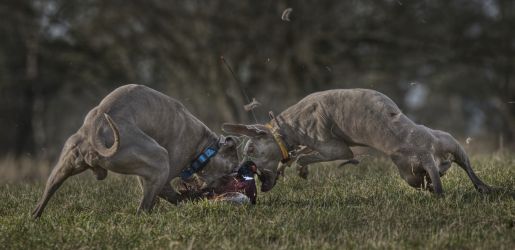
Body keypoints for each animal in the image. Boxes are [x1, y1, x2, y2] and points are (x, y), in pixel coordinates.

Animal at [33, 85, 241, 218]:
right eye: (229, 174)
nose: (221, 190)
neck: (204, 146)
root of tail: (97, 127)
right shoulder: (163, 176)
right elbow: (173, 195)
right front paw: (192, 199)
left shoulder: (147, 176)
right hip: (160, 161)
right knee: (142, 210)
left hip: (64, 165)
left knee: (48, 190)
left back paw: (35, 217)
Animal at [223, 89, 492, 194]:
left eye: (251, 148)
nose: (241, 170)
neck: (289, 124)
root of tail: (426, 152)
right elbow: (296, 155)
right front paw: (288, 167)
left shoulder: (339, 150)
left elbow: (302, 157)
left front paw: (300, 168)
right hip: (423, 165)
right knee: (448, 172)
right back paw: (480, 187)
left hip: (438, 151)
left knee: (464, 170)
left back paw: (484, 187)